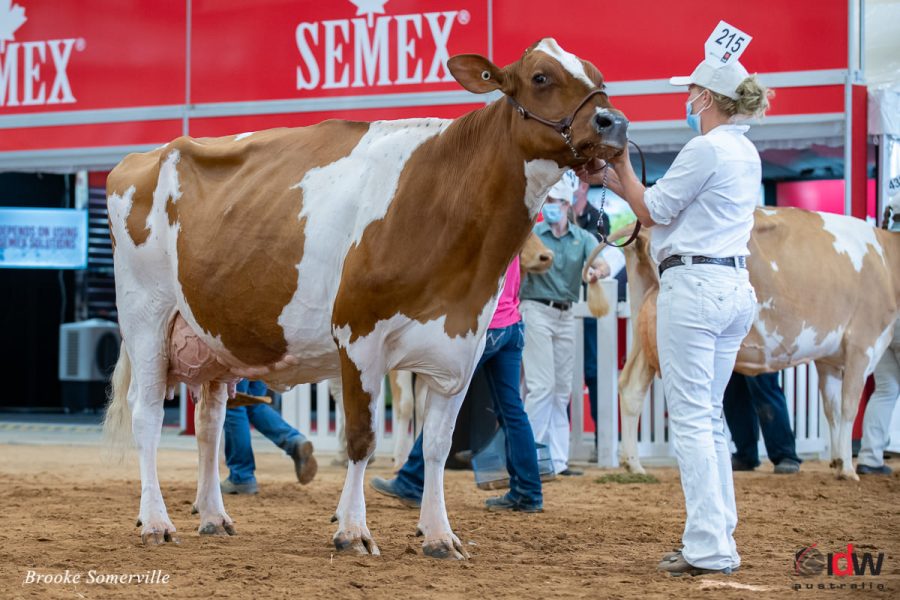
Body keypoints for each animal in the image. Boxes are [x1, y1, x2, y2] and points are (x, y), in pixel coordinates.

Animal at [102, 38, 628, 558]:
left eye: (599, 76)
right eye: (540, 77)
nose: (614, 122)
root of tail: (144, 156)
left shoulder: (464, 346)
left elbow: (436, 445)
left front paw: (439, 534)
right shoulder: (358, 335)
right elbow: (361, 439)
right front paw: (353, 530)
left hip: (212, 337)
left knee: (210, 422)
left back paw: (214, 517)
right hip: (146, 316)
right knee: (147, 413)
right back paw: (156, 521)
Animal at [614, 207, 900, 480]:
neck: (887, 263)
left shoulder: (828, 359)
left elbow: (834, 410)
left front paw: (839, 461)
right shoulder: (863, 344)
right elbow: (850, 408)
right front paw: (849, 469)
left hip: (643, 324)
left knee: (631, 386)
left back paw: (633, 464)